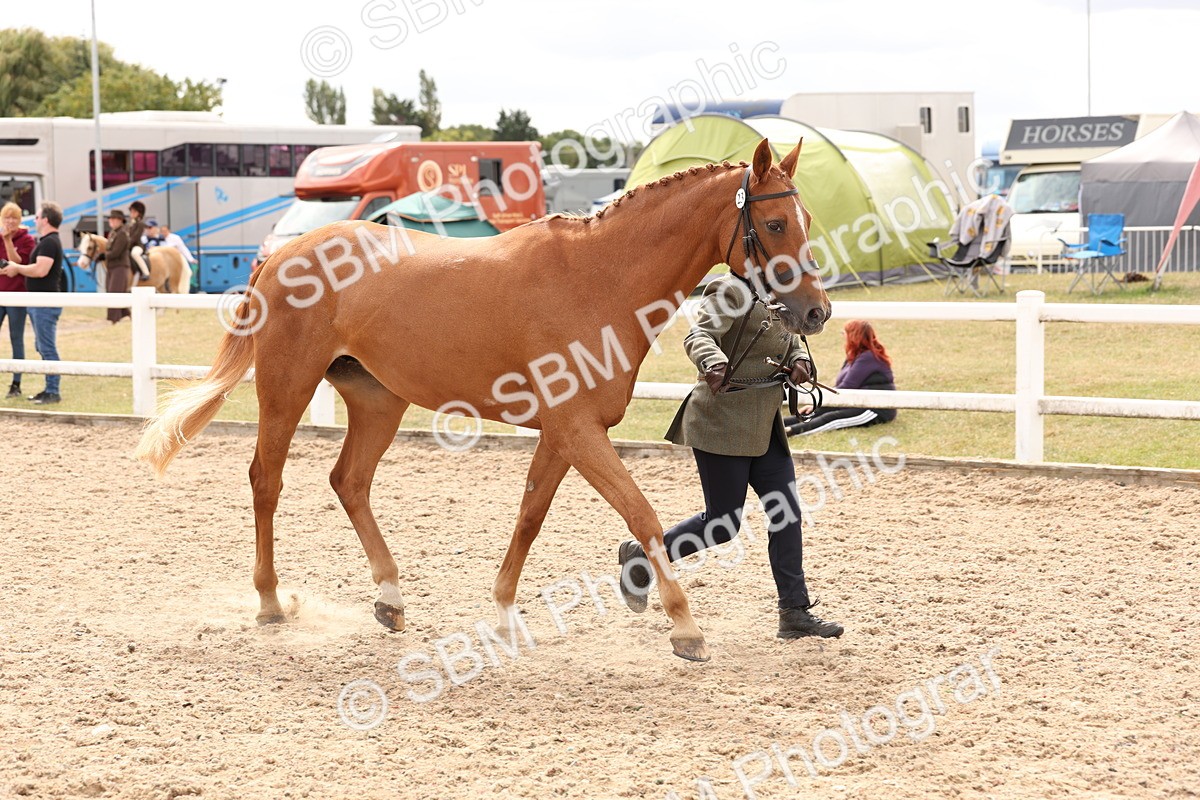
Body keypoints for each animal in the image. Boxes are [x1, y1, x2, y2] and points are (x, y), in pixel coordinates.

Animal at [136, 139, 830, 663]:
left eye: (806, 222)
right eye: (773, 224)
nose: (817, 313)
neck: (600, 278)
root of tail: (281, 252)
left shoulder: (564, 433)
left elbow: (529, 516)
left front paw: (503, 613)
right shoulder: (579, 431)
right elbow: (642, 516)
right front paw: (685, 627)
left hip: (379, 401)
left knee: (349, 481)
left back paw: (390, 598)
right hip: (287, 387)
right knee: (267, 479)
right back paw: (271, 602)